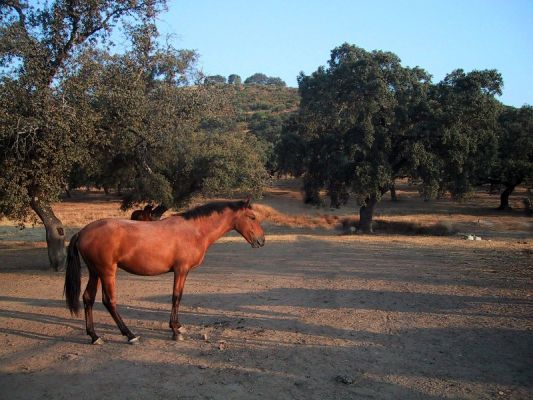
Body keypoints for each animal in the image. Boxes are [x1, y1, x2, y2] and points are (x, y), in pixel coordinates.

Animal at [64, 198, 264, 346]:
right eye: (252, 217)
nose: (261, 240)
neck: (194, 231)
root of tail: (82, 232)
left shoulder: (182, 271)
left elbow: (178, 297)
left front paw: (178, 326)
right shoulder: (181, 270)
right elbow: (176, 297)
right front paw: (175, 330)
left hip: (95, 272)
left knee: (88, 298)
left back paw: (94, 336)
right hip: (107, 272)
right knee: (109, 301)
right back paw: (130, 335)